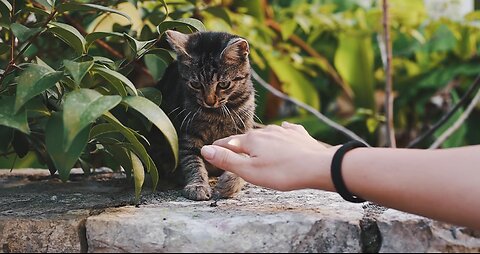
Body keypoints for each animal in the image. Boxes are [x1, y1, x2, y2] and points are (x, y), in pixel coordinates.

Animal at [153, 29, 258, 200]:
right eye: (195, 84)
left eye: (224, 84)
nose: (209, 101)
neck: (216, 113)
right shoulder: (189, 135)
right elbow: (193, 162)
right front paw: (198, 185)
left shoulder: (242, 133)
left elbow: (242, 158)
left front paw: (230, 184)